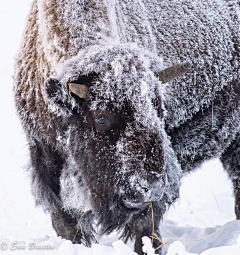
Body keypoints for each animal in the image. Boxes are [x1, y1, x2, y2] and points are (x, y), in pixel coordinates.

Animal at [14, 0, 240, 254]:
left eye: (159, 109)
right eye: (101, 118)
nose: (150, 186)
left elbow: (145, 229)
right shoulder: (45, 158)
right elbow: (68, 224)